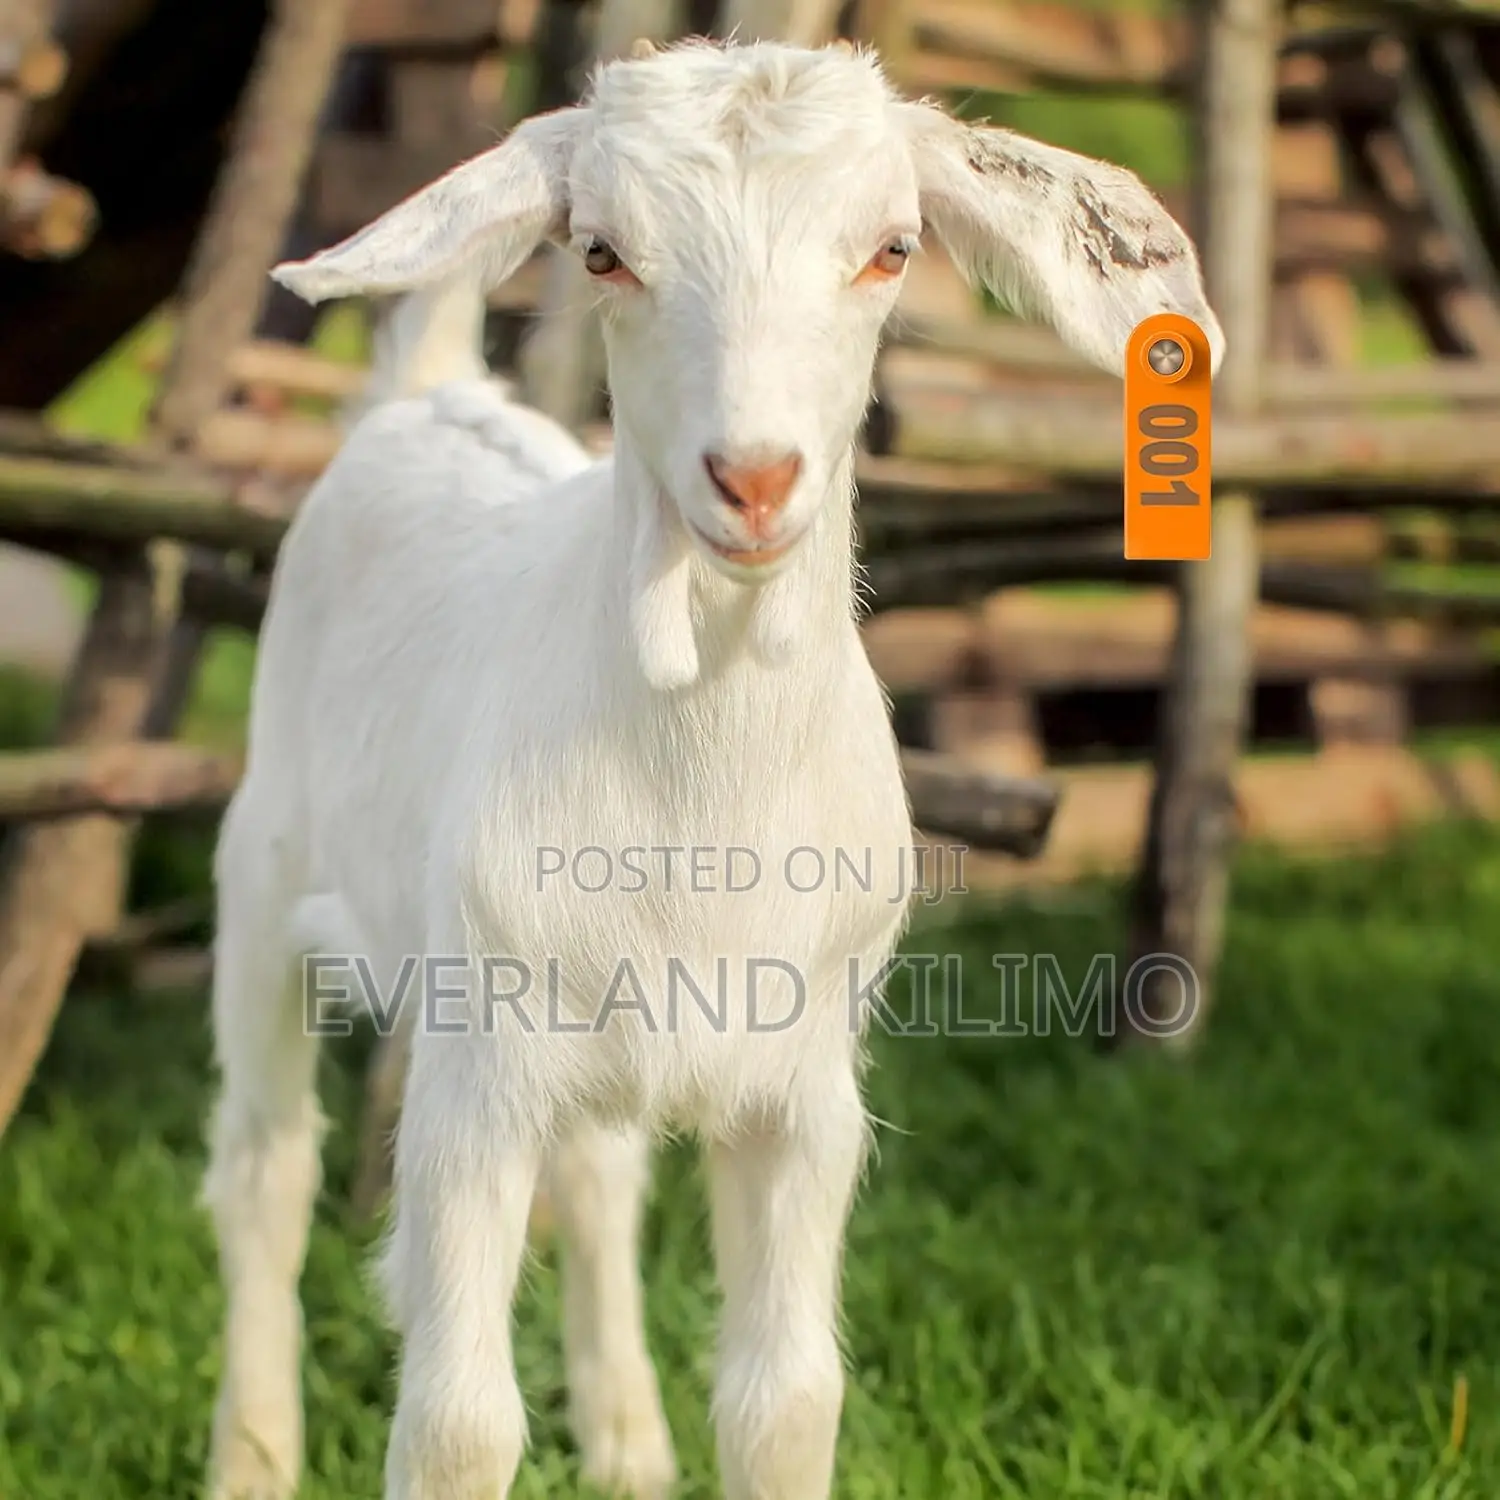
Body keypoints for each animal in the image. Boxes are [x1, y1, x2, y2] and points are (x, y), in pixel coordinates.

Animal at [201, 38, 1223, 1500]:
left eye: (892, 249)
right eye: (603, 253)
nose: (753, 478)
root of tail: (434, 397)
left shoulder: (803, 1088)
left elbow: (783, 1399)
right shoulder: (476, 1076)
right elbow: (457, 1422)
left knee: (598, 1179)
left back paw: (627, 1443)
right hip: (263, 871)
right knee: (264, 1172)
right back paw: (253, 1454)